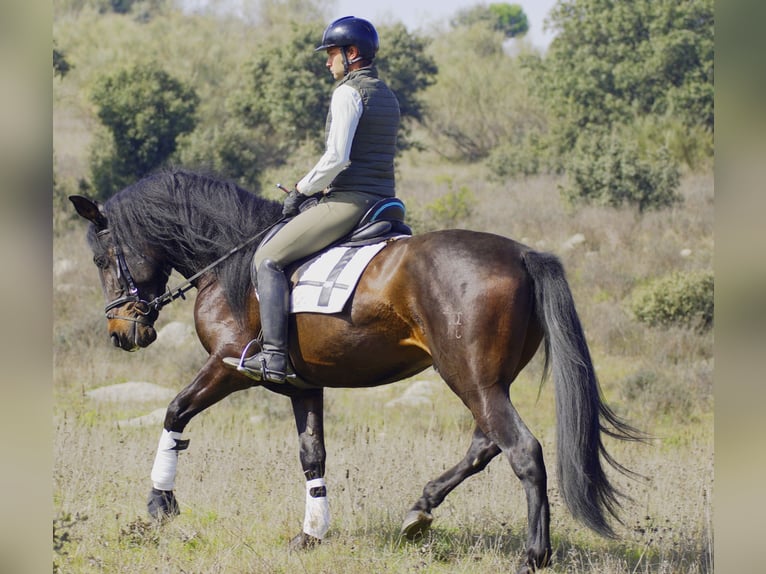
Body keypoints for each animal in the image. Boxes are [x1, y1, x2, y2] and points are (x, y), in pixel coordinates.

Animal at [70, 169, 648, 572]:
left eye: (101, 260)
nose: (122, 333)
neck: (231, 263)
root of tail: (522, 253)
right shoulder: (301, 384)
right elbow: (312, 455)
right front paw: (311, 535)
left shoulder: (230, 365)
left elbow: (175, 412)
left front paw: (159, 503)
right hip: (485, 381)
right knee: (486, 444)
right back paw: (419, 511)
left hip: (469, 377)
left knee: (521, 450)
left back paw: (533, 555)